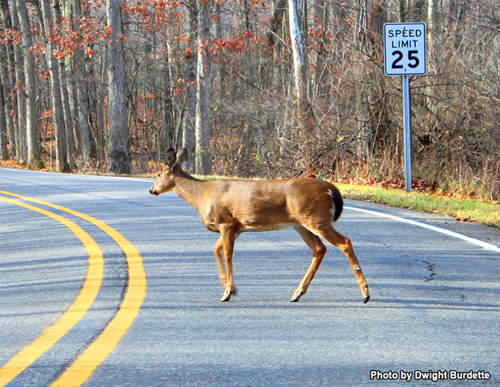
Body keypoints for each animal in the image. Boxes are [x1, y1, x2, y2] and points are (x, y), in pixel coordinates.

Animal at [146, 150, 370, 304]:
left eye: (157, 174)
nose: (151, 190)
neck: (201, 195)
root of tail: (331, 189)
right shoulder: (235, 227)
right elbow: (216, 250)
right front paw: (230, 287)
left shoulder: (226, 222)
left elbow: (227, 254)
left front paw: (227, 292)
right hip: (301, 223)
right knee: (319, 249)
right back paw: (297, 293)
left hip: (316, 218)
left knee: (344, 242)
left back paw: (365, 293)